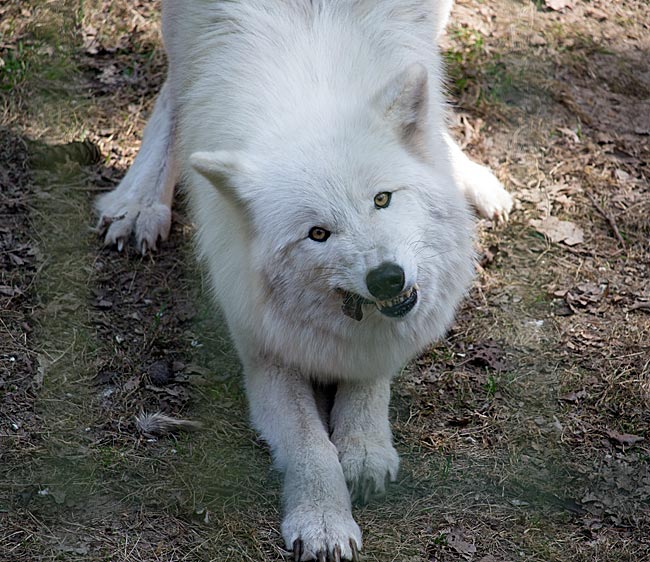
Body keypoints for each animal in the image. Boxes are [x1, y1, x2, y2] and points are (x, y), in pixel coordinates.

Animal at [96, 2, 512, 556]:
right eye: (318, 234)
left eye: (382, 199)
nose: (386, 278)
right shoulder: (266, 354)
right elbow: (311, 445)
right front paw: (323, 521)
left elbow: (368, 383)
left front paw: (364, 448)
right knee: (173, 92)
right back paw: (140, 201)